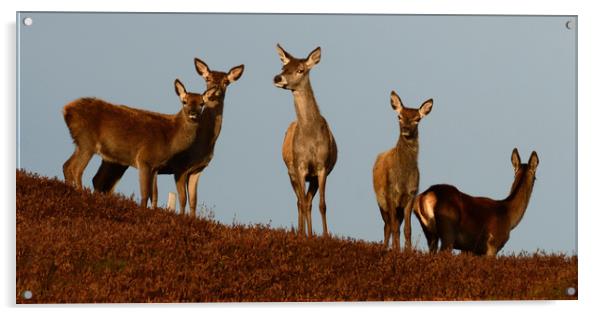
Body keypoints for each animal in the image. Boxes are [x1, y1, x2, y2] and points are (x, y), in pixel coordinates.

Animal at [61, 79, 219, 207]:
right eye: (184, 101)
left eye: (202, 104)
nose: (193, 113)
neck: (169, 139)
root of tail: (66, 110)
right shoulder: (144, 159)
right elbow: (144, 195)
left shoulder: (155, 167)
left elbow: (153, 195)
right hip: (87, 142)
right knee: (76, 169)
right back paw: (82, 195)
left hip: (81, 143)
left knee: (67, 166)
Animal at [89, 58, 244, 217]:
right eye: (207, 78)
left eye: (226, 81)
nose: (214, 91)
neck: (203, 143)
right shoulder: (180, 167)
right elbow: (181, 198)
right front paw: (181, 217)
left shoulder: (198, 169)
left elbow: (193, 200)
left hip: (116, 161)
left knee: (100, 180)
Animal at [274, 44, 336, 237]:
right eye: (283, 67)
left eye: (300, 70)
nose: (277, 78)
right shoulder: (299, 166)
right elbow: (301, 203)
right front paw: (303, 235)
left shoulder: (322, 167)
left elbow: (322, 205)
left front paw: (325, 236)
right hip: (291, 172)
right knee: (300, 202)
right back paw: (303, 233)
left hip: (312, 178)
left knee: (308, 201)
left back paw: (309, 233)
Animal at [370, 92, 432, 252]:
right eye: (399, 116)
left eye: (417, 119)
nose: (405, 128)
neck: (403, 179)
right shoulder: (390, 193)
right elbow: (394, 228)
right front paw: (396, 251)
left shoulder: (411, 194)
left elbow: (407, 229)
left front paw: (407, 251)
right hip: (380, 201)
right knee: (387, 226)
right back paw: (385, 248)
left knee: (393, 224)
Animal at [412, 149, 540, 256]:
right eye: (535, 177)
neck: (509, 216)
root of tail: (424, 197)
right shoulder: (492, 245)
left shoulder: (470, 249)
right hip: (448, 231)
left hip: (429, 233)